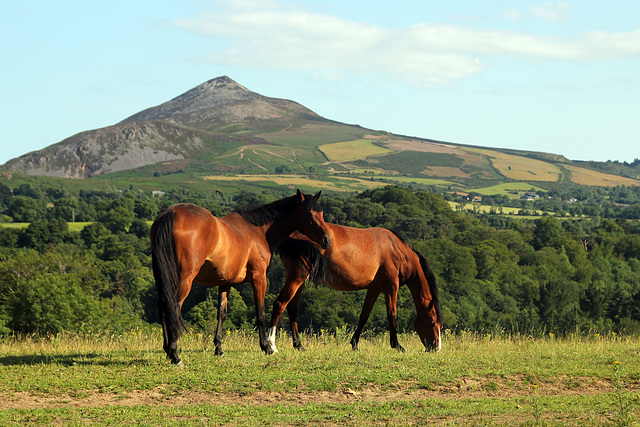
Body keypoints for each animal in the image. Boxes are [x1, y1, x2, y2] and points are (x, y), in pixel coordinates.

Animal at [150, 191, 330, 368]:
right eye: (309, 213)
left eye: (321, 213)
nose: (327, 239)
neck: (259, 232)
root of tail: (170, 213)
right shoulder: (259, 279)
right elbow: (260, 313)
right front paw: (266, 347)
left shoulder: (225, 283)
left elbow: (222, 313)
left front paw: (219, 349)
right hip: (184, 279)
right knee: (173, 307)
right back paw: (175, 355)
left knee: (163, 306)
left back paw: (167, 349)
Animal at [268, 224, 442, 354]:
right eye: (432, 322)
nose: (436, 348)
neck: (397, 250)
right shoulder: (391, 286)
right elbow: (392, 314)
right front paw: (397, 345)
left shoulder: (374, 288)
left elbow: (364, 315)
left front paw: (354, 343)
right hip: (296, 279)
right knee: (279, 304)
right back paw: (270, 345)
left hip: (299, 281)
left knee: (293, 309)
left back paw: (299, 345)